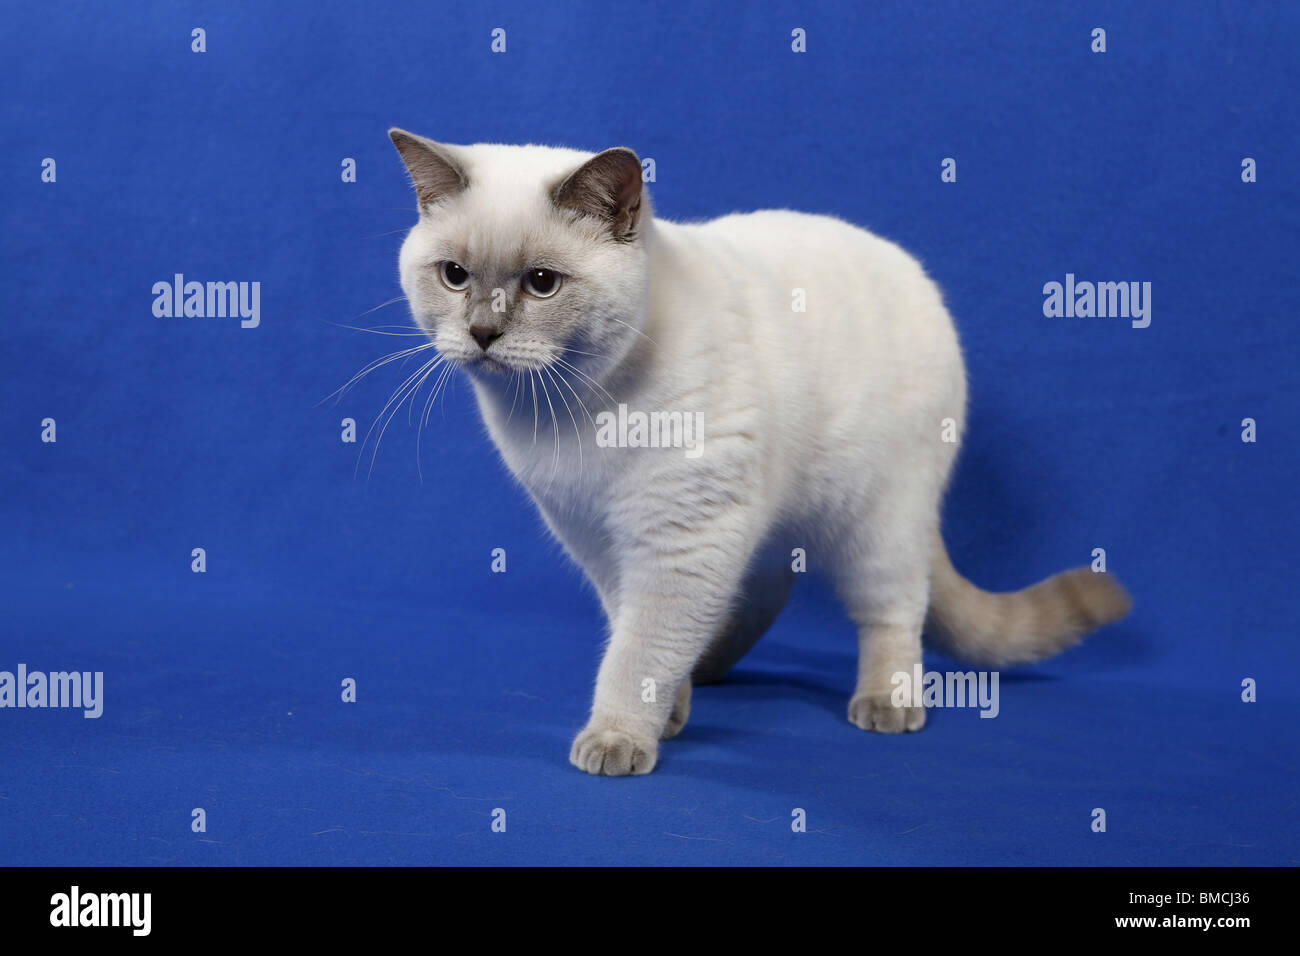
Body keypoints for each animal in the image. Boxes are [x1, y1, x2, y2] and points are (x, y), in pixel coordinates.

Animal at [382, 128, 1128, 780]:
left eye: (541, 283)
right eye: (454, 276)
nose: (482, 332)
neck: (562, 417)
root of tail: (911, 270)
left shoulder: (678, 538)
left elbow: (638, 652)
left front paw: (618, 739)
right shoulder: (598, 538)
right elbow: (634, 633)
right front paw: (666, 712)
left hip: (874, 519)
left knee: (894, 609)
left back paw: (884, 705)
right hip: (758, 518)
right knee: (764, 588)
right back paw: (706, 670)